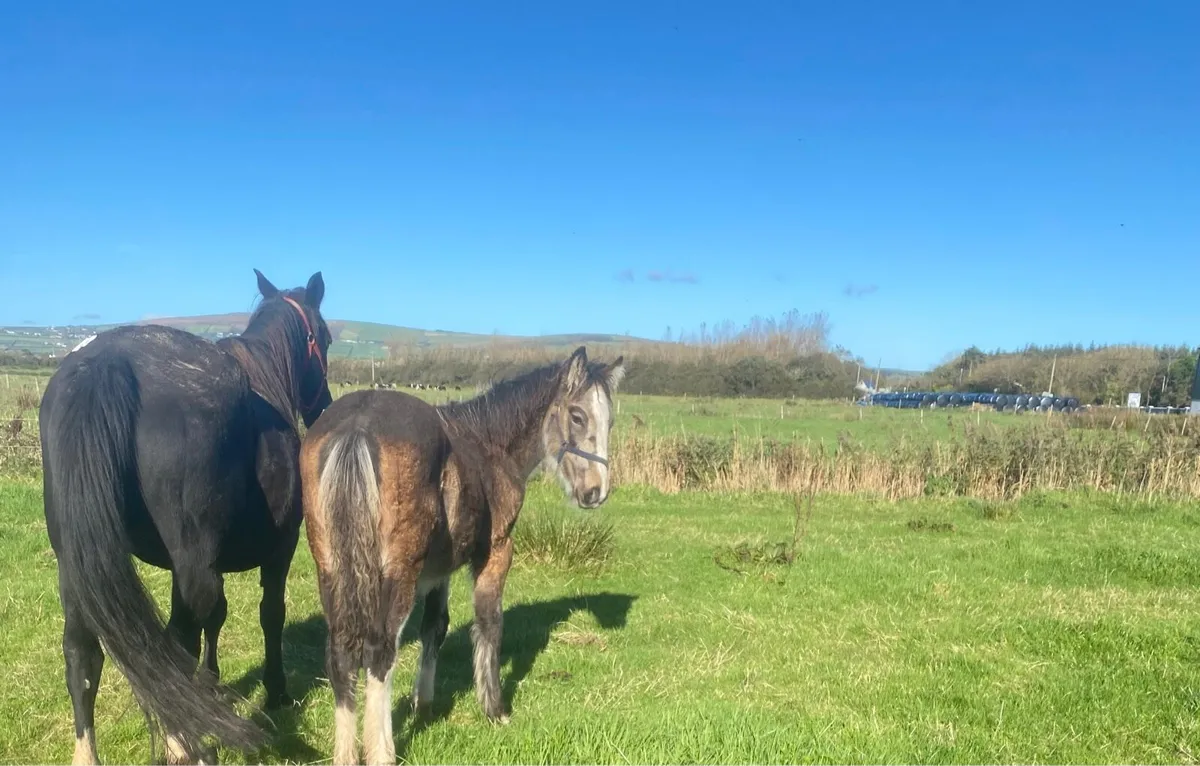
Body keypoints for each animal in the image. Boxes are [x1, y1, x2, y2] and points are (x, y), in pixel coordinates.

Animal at [40, 269, 333, 765]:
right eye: (327, 339)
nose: (326, 407)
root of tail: (106, 363)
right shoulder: (279, 549)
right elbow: (269, 615)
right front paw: (275, 692)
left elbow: (216, 619)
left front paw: (210, 689)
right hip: (192, 565)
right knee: (175, 643)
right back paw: (185, 745)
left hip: (76, 563)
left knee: (81, 654)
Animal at [300, 345, 624, 765]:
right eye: (578, 415)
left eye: (610, 421)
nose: (596, 492)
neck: (489, 445)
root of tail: (357, 426)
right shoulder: (496, 550)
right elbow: (489, 623)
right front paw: (495, 709)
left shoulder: (438, 571)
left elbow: (434, 628)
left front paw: (424, 704)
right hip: (397, 574)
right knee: (380, 652)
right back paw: (382, 750)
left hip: (330, 568)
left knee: (340, 654)